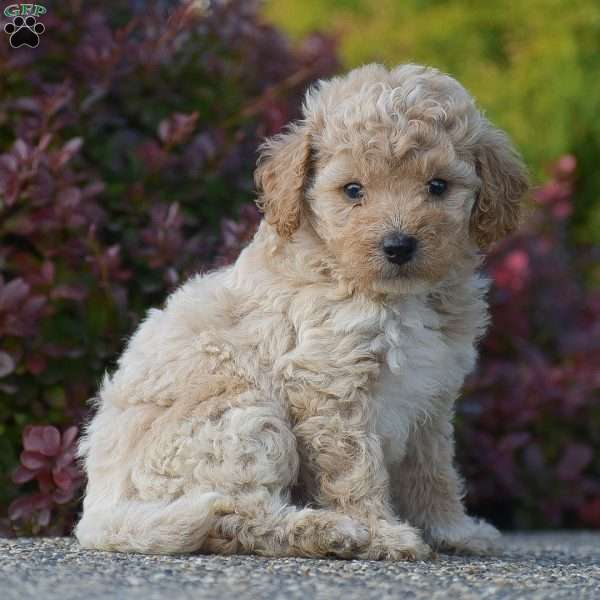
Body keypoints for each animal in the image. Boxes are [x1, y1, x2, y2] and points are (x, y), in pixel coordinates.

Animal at [76, 63, 528, 560]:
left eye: (438, 186)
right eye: (353, 190)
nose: (398, 246)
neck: (389, 295)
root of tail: (99, 515)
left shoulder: (432, 393)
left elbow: (435, 472)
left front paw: (454, 531)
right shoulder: (330, 385)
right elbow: (356, 468)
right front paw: (382, 534)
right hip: (246, 420)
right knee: (239, 513)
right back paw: (330, 531)